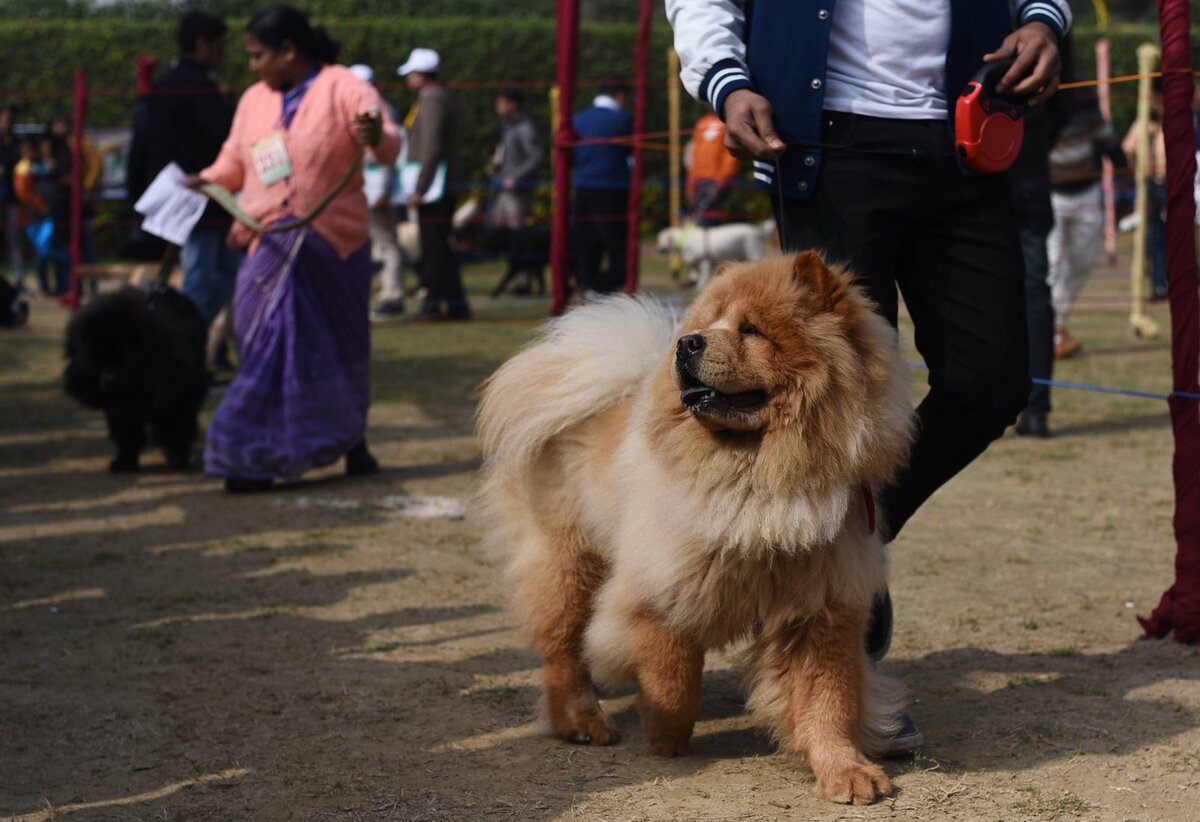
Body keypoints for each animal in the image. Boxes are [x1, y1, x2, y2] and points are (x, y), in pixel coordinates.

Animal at [65, 285, 208, 470]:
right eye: (99, 360)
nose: (110, 378)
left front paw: (177, 459)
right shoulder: (119, 412)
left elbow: (176, 430)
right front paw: (124, 462)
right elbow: (126, 436)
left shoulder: (177, 398)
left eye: (127, 360)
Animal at [472, 249, 912, 801]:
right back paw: (583, 723)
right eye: (707, 325)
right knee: (561, 648)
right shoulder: (663, 590)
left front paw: (846, 772)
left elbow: (829, 701)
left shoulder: (821, 607)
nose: (687, 343)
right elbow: (675, 680)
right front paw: (666, 737)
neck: (759, 472)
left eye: (751, 330)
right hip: (571, 559)